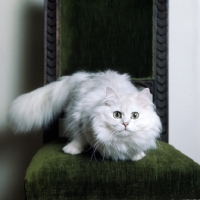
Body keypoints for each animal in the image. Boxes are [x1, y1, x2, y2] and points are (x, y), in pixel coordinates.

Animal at [8, 70, 162, 161]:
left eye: (135, 115)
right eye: (117, 115)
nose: (125, 124)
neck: (121, 143)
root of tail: (87, 76)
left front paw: (137, 156)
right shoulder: (81, 119)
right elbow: (80, 138)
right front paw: (72, 149)